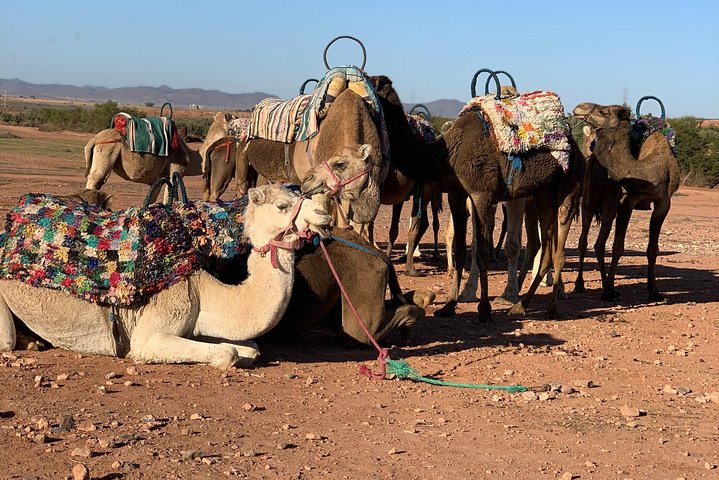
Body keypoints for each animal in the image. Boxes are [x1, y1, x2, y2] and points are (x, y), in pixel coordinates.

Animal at [0, 184, 332, 368]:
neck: (201, 289)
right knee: (6, 341)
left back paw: (35, 341)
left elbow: (250, 349)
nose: (324, 214)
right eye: (282, 205)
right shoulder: (148, 335)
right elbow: (227, 353)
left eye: (299, 195)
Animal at [364, 75, 583, 322]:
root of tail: (576, 148)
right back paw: (521, 304)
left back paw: (550, 307)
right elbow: (460, 251)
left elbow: (482, 253)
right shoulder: (457, 194)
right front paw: (448, 305)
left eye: (367, 87)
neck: (446, 153)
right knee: (545, 248)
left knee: (558, 251)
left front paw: (484, 310)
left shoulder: (481, 194)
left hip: (568, 190)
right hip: (541, 195)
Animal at [572, 102, 680, 301]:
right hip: (590, 199)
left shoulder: (663, 203)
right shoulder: (627, 201)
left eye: (603, 111)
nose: (579, 107)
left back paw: (608, 286)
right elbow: (618, 247)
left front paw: (654, 292)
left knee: (599, 243)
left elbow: (652, 249)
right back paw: (581, 285)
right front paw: (608, 292)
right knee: (583, 240)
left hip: (609, 205)